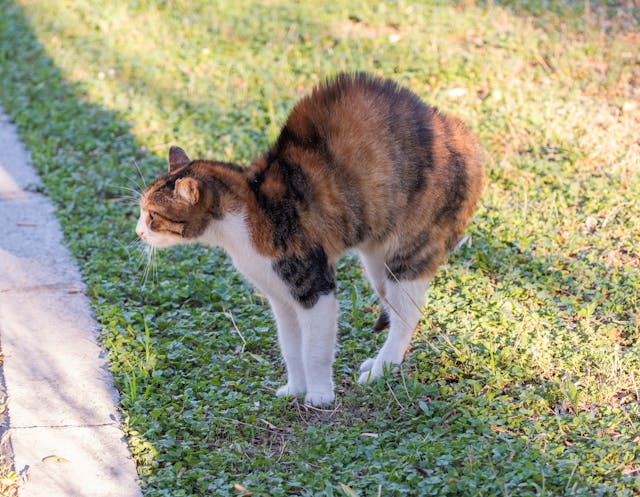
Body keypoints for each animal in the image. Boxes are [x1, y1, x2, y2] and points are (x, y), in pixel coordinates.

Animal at [136, 73, 484, 406]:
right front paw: (295, 388)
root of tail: (461, 135)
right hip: (377, 261)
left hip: (408, 253)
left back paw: (382, 370)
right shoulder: (280, 298)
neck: (248, 213)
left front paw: (319, 395)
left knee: (407, 317)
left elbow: (314, 350)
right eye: (142, 211)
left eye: (152, 215)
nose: (138, 231)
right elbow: (292, 348)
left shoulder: (315, 287)